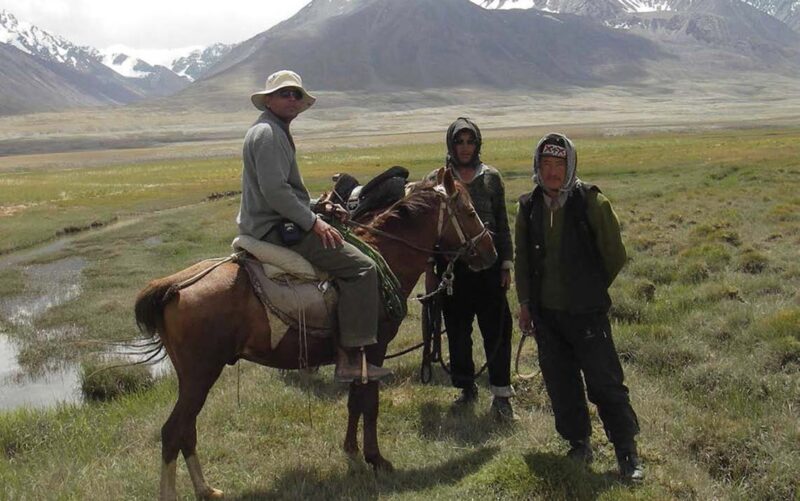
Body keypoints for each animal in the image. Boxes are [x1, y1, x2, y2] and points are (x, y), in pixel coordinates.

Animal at [134, 167, 498, 500]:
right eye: (469, 212)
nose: (490, 253)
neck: (384, 256)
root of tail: (174, 286)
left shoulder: (356, 355)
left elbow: (354, 402)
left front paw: (352, 451)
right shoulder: (375, 349)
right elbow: (370, 404)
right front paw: (376, 459)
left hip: (193, 378)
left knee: (186, 431)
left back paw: (206, 489)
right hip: (201, 374)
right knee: (173, 432)